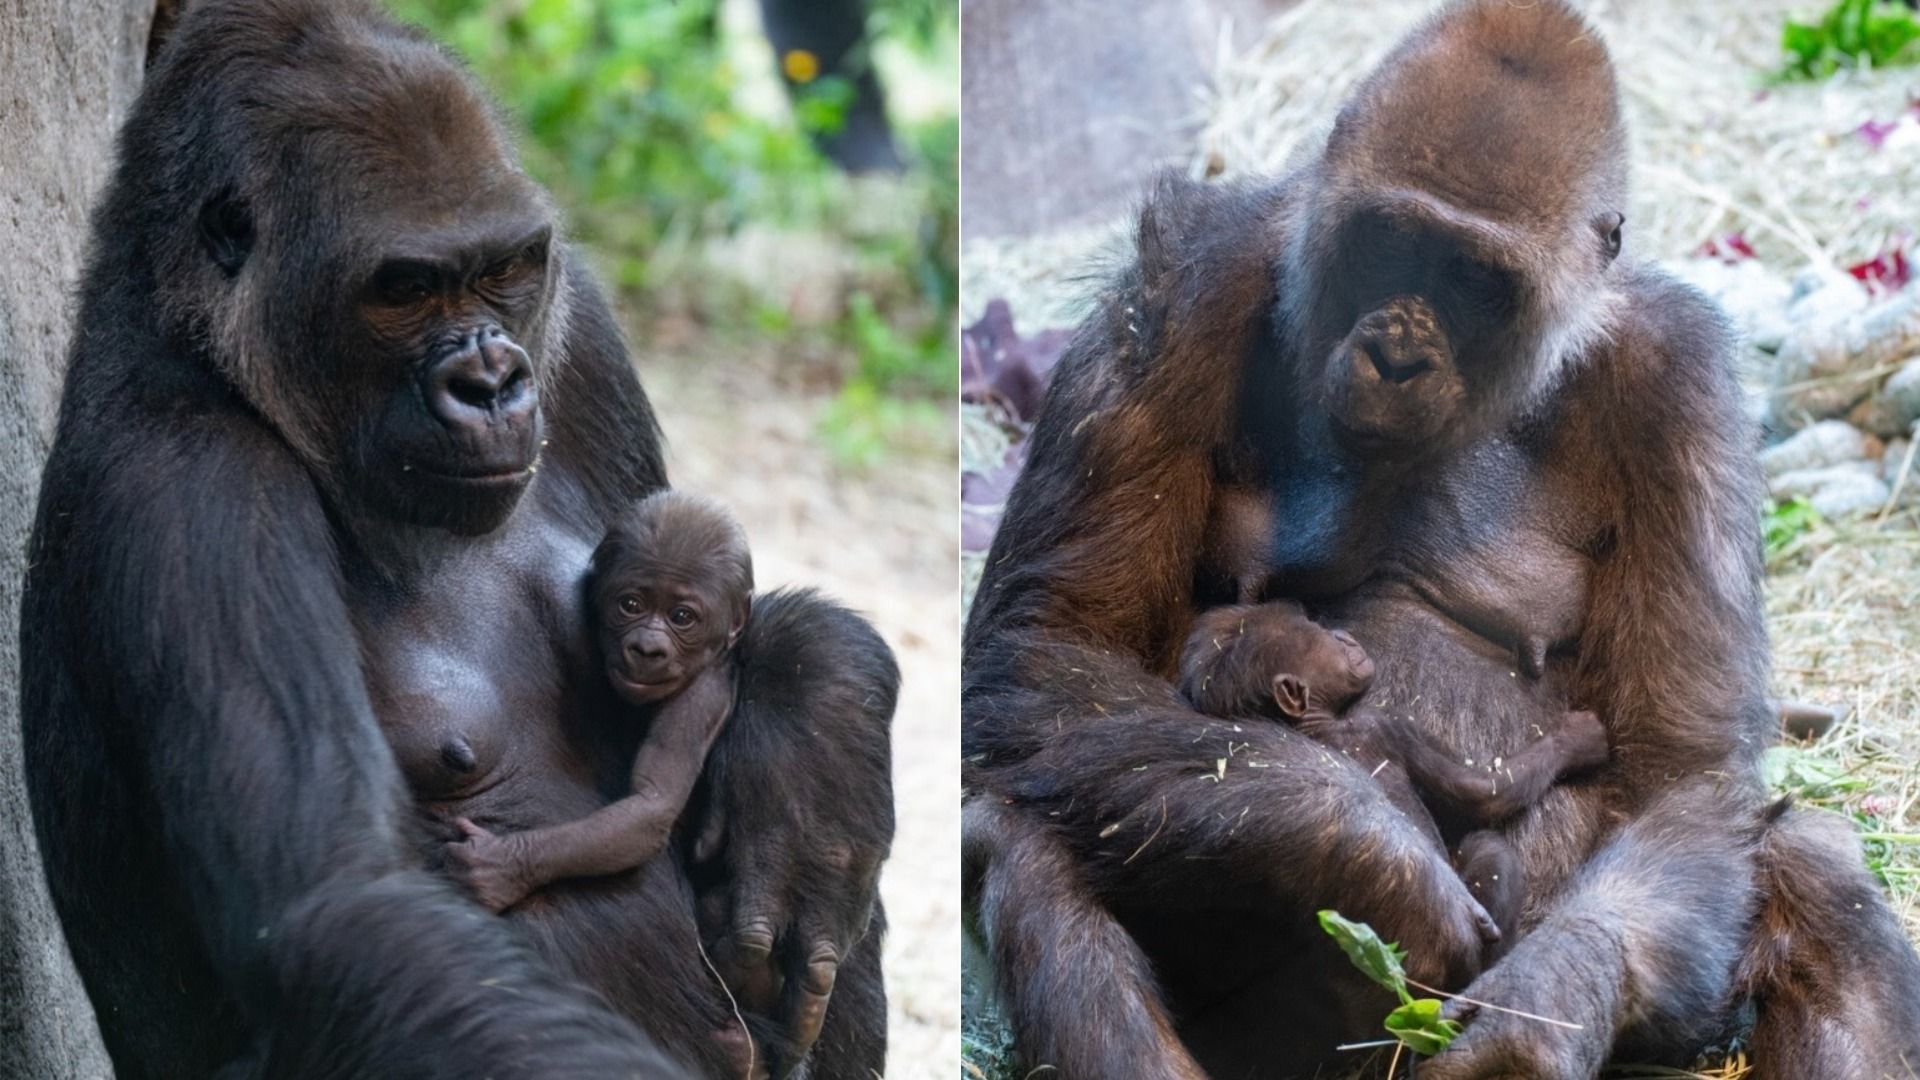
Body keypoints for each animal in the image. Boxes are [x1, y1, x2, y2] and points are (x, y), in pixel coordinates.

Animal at [960, 2, 1920, 1077]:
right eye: (1387, 242)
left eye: (1475, 279)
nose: (1396, 355)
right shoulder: (1180, 285)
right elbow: (1055, 644)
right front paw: (1371, 860)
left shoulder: (1683, 383)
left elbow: (1681, 770)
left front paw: (1534, 1020)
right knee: (1020, 827)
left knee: (1803, 862)